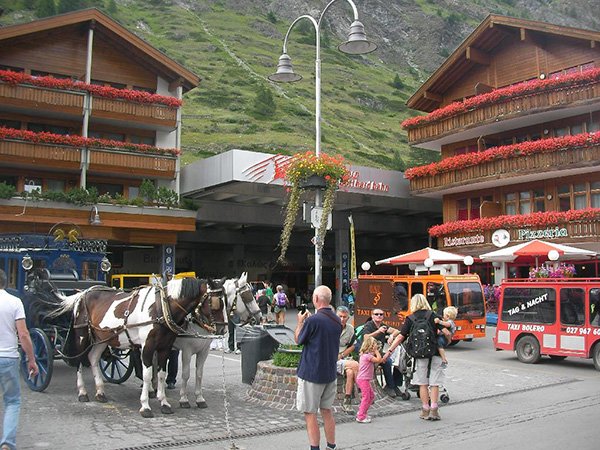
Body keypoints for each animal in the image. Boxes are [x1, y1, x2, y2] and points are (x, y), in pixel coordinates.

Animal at [57, 278, 226, 418]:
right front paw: (145, 406)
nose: (223, 329)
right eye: (215, 303)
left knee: (93, 358)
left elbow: (162, 375)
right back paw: (82, 392)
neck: (161, 306)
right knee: (79, 361)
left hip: (101, 339)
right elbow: (147, 375)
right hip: (82, 336)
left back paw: (100, 392)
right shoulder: (149, 347)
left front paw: (164, 403)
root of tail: (83, 293)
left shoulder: (165, 348)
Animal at [172, 270, 258, 408]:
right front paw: (184, 399)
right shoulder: (186, 351)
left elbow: (199, 373)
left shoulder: (204, 350)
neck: (198, 319)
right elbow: (185, 374)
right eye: (247, 296)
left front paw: (199, 398)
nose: (258, 316)